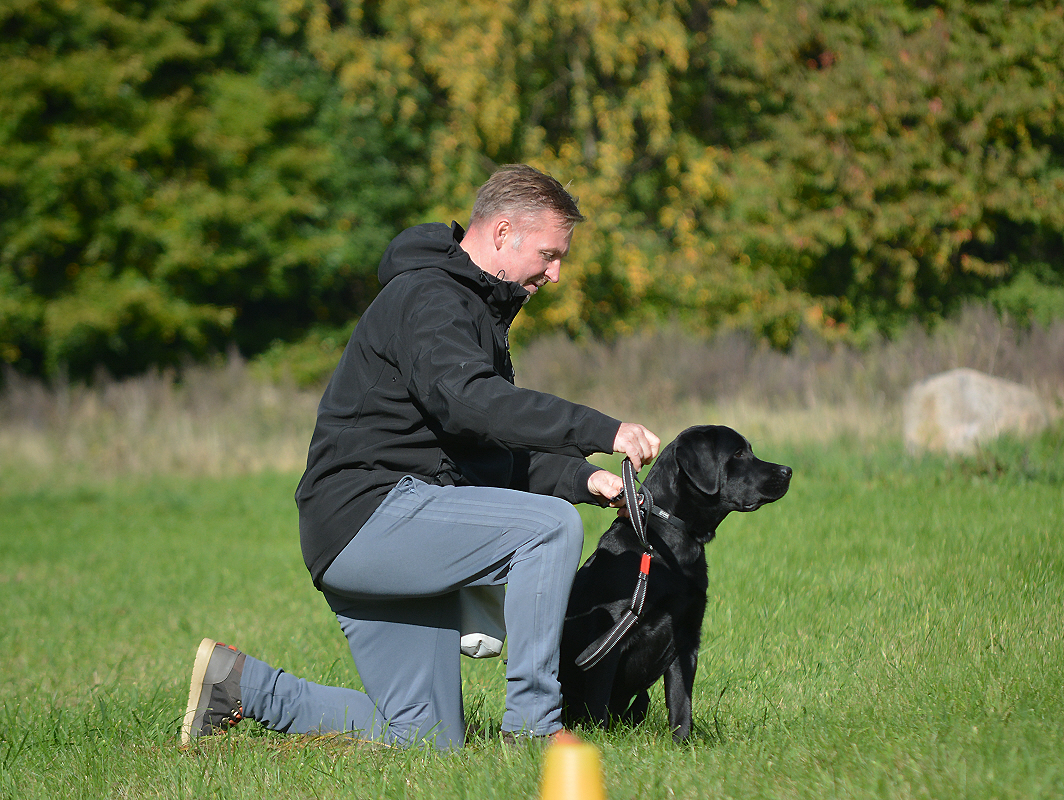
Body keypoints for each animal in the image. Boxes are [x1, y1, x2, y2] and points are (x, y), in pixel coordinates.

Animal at [557, 425, 791, 744]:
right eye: (739, 454)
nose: (788, 470)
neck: (669, 546)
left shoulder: (687, 634)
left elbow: (682, 702)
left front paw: (683, 745)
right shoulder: (608, 638)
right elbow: (598, 702)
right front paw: (598, 743)